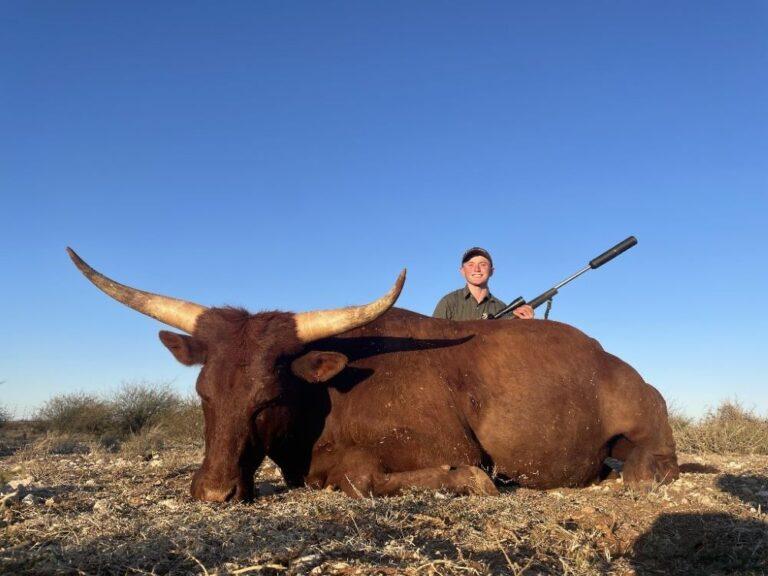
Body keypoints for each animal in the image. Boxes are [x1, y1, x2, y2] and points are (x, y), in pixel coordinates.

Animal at [67, 248, 679, 501]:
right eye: (203, 395)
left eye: (268, 398)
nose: (214, 492)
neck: (324, 403)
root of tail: (609, 358)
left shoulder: (436, 444)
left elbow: (361, 475)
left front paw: (472, 479)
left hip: (647, 419)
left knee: (648, 464)